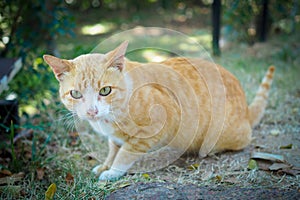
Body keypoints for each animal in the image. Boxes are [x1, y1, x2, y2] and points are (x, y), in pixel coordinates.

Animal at [42, 41, 274, 181]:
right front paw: (104, 166)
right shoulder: (113, 138)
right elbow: (113, 150)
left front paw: (112, 172)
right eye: (75, 94)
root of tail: (246, 109)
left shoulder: (154, 128)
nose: (91, 111)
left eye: (105, 90)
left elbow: (125, 153)